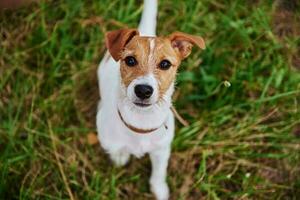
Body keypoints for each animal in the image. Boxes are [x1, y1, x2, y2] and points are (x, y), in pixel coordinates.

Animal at [97, 0, 205, 199]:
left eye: (165, 64)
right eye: (130, 60)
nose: (143, 90)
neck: (141, 120)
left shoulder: (162, 150)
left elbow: (159, 172)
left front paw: (159, 189)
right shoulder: (109, 140)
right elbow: (116, 149)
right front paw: (120, 156)